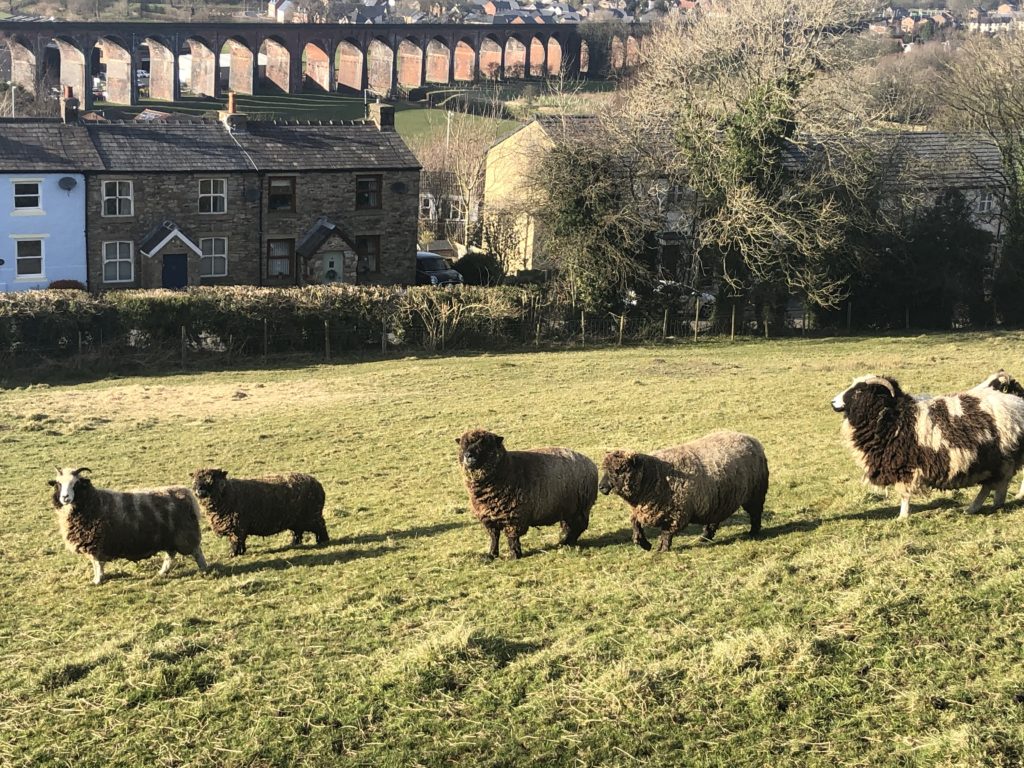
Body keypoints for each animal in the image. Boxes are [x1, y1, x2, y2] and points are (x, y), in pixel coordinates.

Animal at [49, 466, 207, 585]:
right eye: (58, 484)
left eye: (75, 484)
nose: (65, 498)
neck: (92, 501)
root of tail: (185, 493)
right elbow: (96, 564)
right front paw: (97, 579)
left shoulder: (96, 543)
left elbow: (97, 564)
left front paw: (97, 580)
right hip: (170, 538)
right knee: (171, 555)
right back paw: (162, 572)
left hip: (185, 535)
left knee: (197, 551)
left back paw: (204, 569)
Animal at [192, 468, 331, 561]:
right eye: (195, 481)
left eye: (211, 480)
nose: (199, 491)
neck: (228, 493)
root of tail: (317, 483)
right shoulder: (239, 527)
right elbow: (240, 541)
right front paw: (240, 552)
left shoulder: (237, 527)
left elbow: (235, 541)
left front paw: (233, 554)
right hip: (297, 519)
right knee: (298, 532)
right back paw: (294, 543)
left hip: (312, 516)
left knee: (321, 527)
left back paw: (323, 541)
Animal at [454, 428, 598, 561]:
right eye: (463, 445)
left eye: (485, 444)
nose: (468, 456)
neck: (507, 469)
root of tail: (590, 463)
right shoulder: (489, 518)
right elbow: (494, 538)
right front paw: (491, 555)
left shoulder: (514, 516)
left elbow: (512, 538)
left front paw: (514, 555)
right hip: (567, 508)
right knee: (569, 526)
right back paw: (564, 542)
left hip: (581, 507)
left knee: (579, 526)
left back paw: (567, 542)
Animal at [598, 434, 770, 552]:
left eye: (620, 470)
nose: (601, 487)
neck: (656, 475)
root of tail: (751, 439)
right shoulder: (644, 510)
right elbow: (635, 524)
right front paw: (644, 544)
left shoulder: (678, 514)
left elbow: (666, 533)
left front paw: (662, 549)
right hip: (718, 500)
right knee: (714, 520)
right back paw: (704, 537)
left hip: (754, 494)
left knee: (755, 514)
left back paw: (753, 532)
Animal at [831, 374, 1024, 520]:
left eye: (859, 391)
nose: (833, 402)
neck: (894, 416)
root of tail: (1017, 401)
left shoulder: (905, 465)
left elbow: (905, 495)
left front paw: (902, 517)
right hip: (994, 461)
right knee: (993, 485)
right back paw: (981, 507)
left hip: (1002, 457)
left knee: (996, 484)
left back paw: (986, 506)